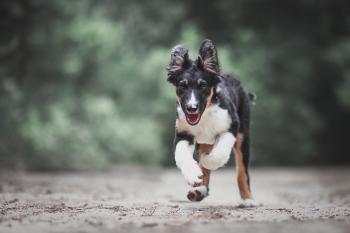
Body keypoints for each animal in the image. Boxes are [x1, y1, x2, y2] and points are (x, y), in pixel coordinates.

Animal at [167, 38, 258, 208]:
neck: (205, 116)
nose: (191, 108)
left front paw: (207, 161)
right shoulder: (183, 133)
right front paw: (193, 173)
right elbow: (181, 154)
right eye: (182, 85)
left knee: (242, 170)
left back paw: (247, 199)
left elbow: (219, 154)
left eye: (203, 85)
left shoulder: (231, 126)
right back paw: (199, 190)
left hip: (243, 134)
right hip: (205, 140)